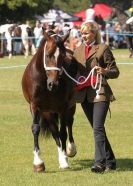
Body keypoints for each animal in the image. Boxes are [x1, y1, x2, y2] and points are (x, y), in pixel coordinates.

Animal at [21, 30, 77, 171]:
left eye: (62, 56)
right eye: (47, 55)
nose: (53, 84)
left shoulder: (62, 107)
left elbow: (63, 132)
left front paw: (64, 160)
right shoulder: (35, 106)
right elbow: (36, 129)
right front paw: (38, 162)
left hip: (70, 106)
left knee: (69, 124)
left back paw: (69, 150)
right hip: (48, 112)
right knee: (54, 131)